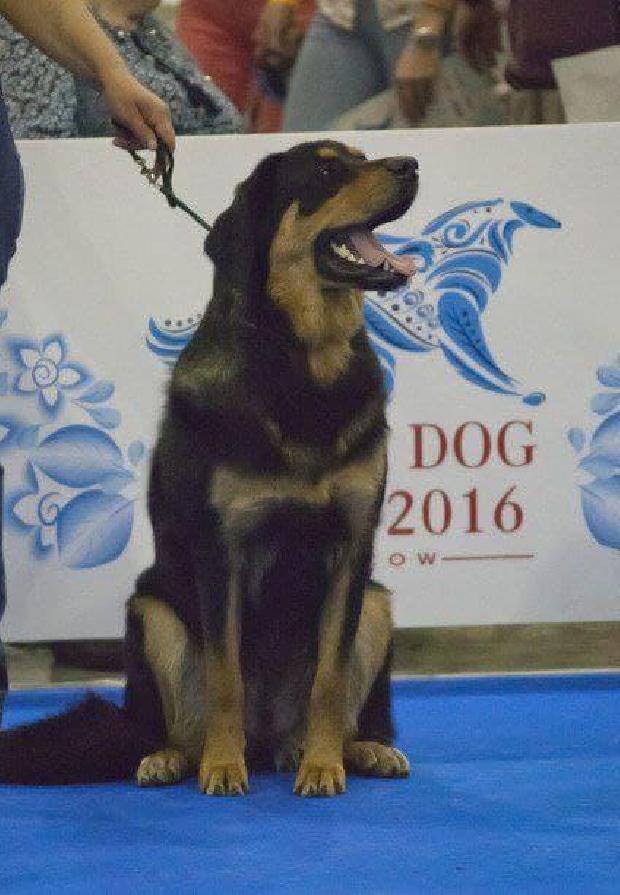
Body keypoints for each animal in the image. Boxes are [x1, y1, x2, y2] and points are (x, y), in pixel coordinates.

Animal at [0, 140, 418, 797]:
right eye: (326, 169)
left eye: (362, 156)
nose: (410, 167)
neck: (302, 360)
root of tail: (271, 739)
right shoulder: (222, 549)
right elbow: (225, 677)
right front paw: (223, 767)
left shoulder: (352, 547)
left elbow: (328, 679)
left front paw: (323, 765)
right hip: (151, 613)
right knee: (165, 726)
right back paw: (173, 758)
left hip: (377, 603)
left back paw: (358, 749)